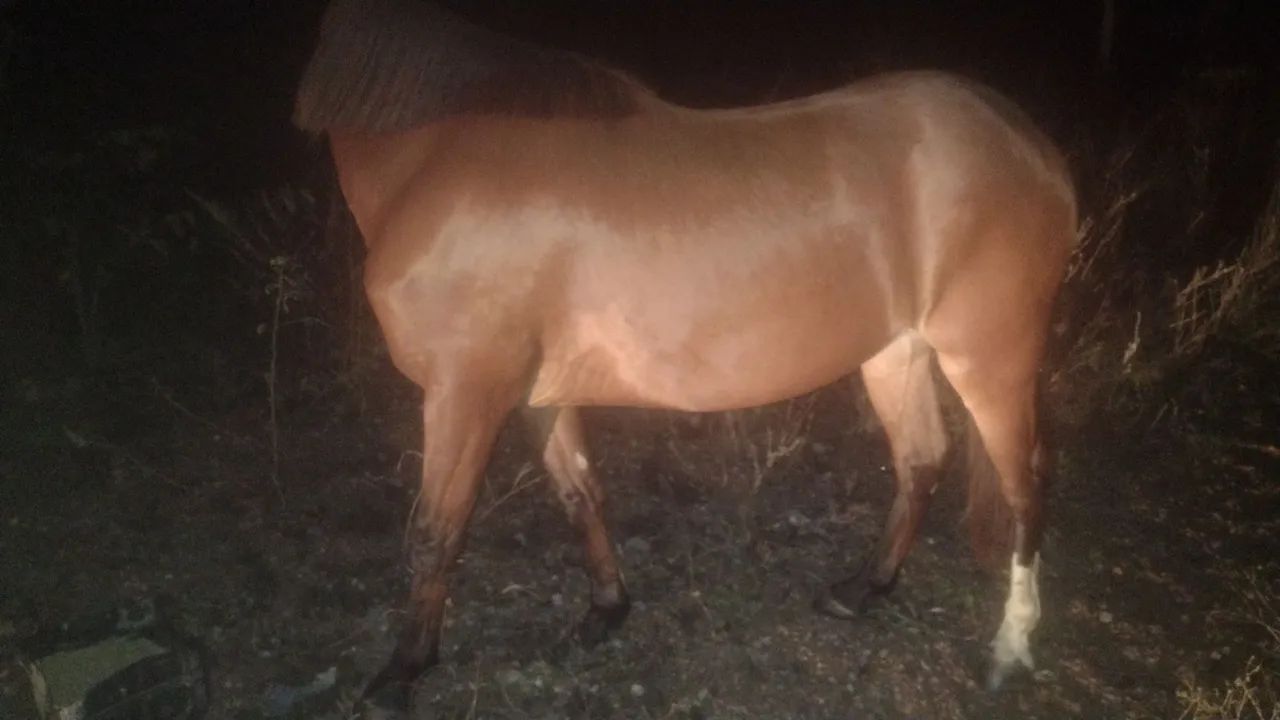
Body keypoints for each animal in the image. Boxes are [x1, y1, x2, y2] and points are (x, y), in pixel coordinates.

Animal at [294, 0, 1077, 709]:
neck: (438, 156)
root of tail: (1031, 146)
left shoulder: (465, 390)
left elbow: (435, 531)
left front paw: (403, 670)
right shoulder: (533, 392)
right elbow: (579, 490)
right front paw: (606, 609)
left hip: (991, 359)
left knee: (1025, 487)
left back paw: (1009, 649)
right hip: (896, 352)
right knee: (921, 461)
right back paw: (862, 590)